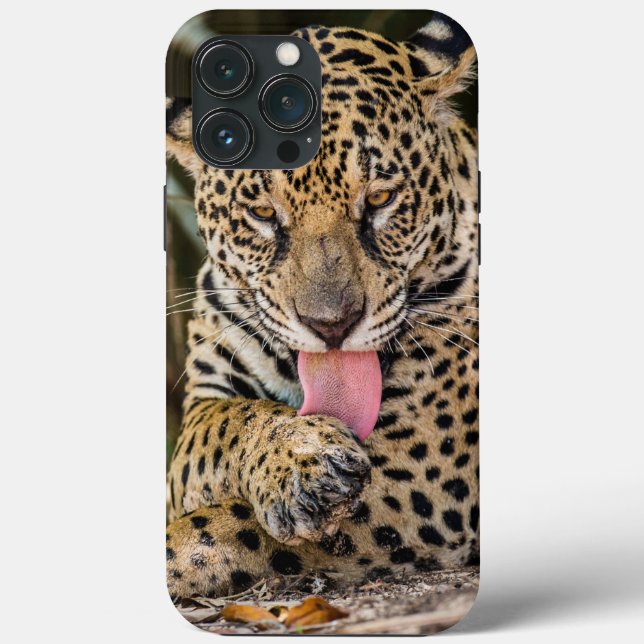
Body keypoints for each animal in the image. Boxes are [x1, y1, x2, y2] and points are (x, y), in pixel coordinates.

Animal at [165, 12, 479, 600]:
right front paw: (303, 461)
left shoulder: (424, 475)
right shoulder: (203, 402)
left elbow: (209, 533)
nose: (331, 326)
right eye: (264, 212)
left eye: (380, 198)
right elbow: (219, 429)